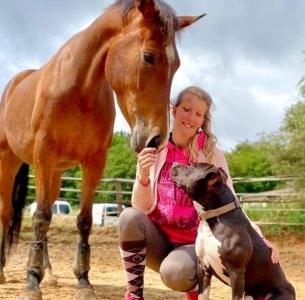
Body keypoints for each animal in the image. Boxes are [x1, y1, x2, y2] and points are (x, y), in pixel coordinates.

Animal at [0, 0, 204, 300]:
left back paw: (50, 275)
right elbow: (40, 217)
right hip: (10, 162)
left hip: (55, 173)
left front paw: (83, 282)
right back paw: (5, 270)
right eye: (148, 57)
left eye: (176, 64)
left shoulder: (94, 161)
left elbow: (83, 220)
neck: (79, 91)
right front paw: (31, 284)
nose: (156, 139)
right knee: (8, 213)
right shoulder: (43, 157)